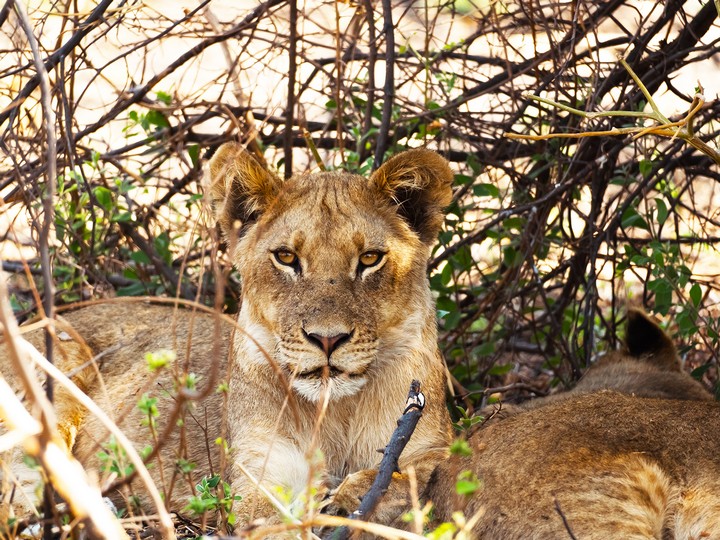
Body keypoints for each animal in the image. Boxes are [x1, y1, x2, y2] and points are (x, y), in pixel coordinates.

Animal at [0, 144, 455, 534]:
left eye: (370, 258)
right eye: (286, 257)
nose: (327, 340)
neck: (337, 411)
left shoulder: (429, 442)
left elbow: (415, 471)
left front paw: (347, 500)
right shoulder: (260, 473)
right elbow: (272, 525)